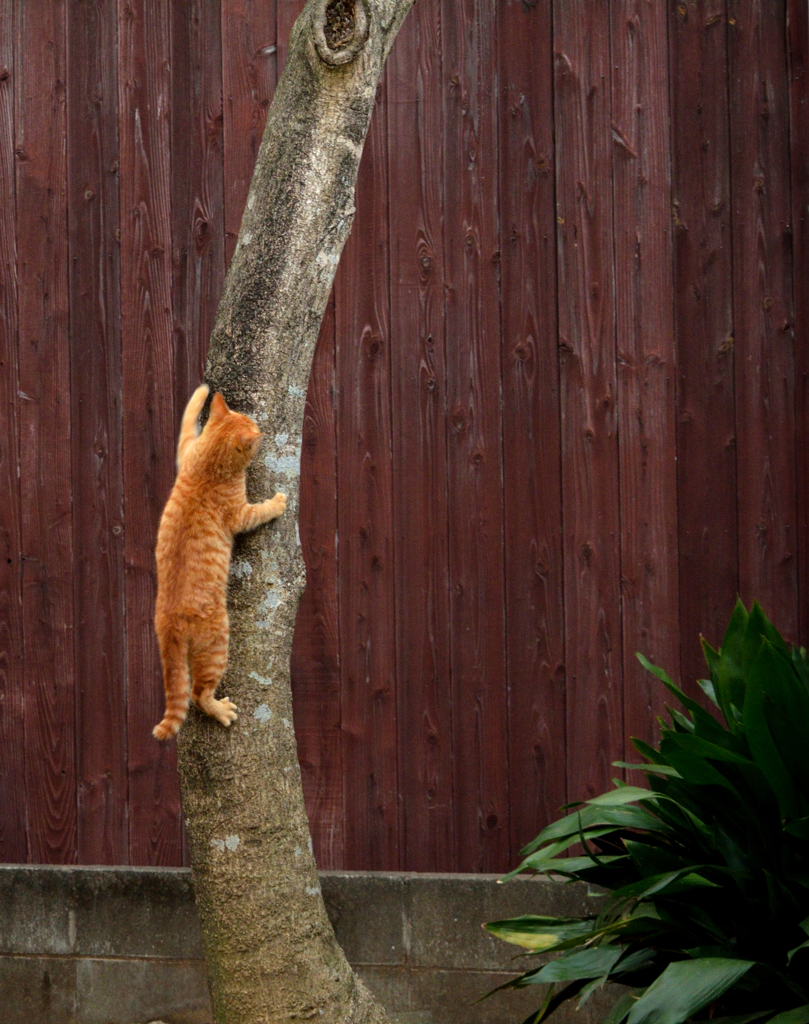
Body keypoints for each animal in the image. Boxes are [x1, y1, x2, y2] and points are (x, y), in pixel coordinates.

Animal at [152, 380, 288, 741]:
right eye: (254, 427)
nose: (261, 429)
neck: (206, 465)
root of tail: (167, 618)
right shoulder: (239, 514)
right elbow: (260, 511)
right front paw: (278, 503)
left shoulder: (186, 452)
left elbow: (187, 423)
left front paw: (202, 394)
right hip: (216, 645)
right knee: (197, 693)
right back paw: (219, 709)